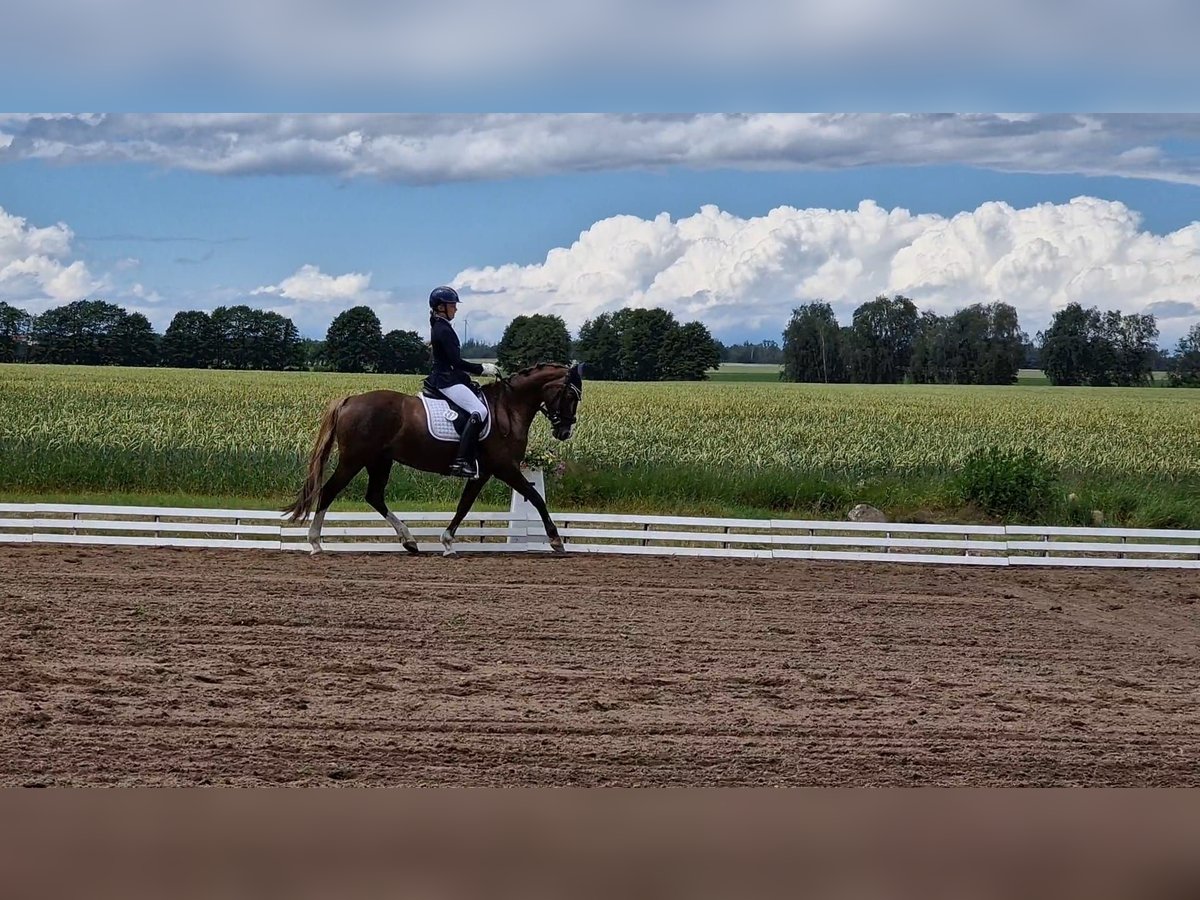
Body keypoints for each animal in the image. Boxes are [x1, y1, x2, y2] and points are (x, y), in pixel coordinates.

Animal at [280, 362, 580, 561]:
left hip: (380, 460)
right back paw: (315, 543)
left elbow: (464, 506)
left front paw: (447, 542)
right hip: (354, 459)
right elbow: (536, 497)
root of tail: (350, 400)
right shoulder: (505, 468)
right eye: (570, 395)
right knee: (329, 491)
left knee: (374, 496)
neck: (508, 409)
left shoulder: (483, 472)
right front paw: (556, 540)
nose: (564, 431)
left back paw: (410, 541)